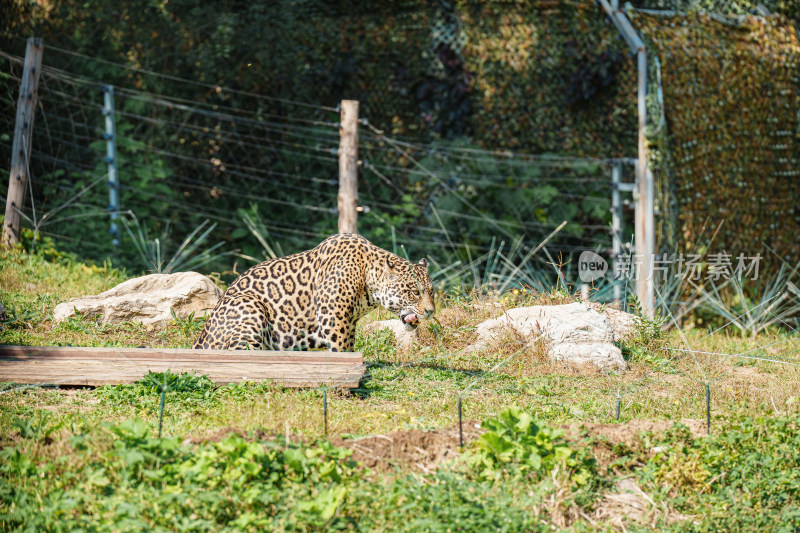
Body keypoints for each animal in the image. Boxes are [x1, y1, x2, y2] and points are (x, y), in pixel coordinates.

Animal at [192, 232, 438, 350]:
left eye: (431, 292)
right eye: (414, 292)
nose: (431, 311)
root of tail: (199, 341)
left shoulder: (348, 321)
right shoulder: (333, 316)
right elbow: (341, 348)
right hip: (249, 304)